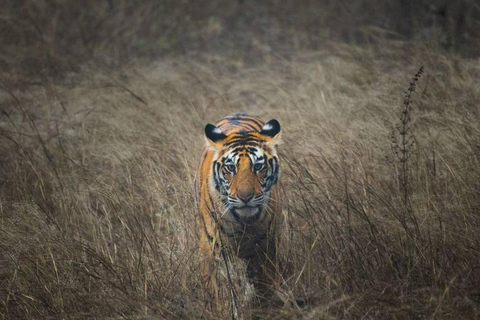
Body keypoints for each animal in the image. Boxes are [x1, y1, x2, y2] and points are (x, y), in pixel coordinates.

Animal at [197, 113, 284, 308]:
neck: (244, 222)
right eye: (231, 168)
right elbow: (222, 289)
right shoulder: (216, 248)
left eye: (258, 167)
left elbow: (266, 283)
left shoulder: (267, 246)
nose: (245, 197)